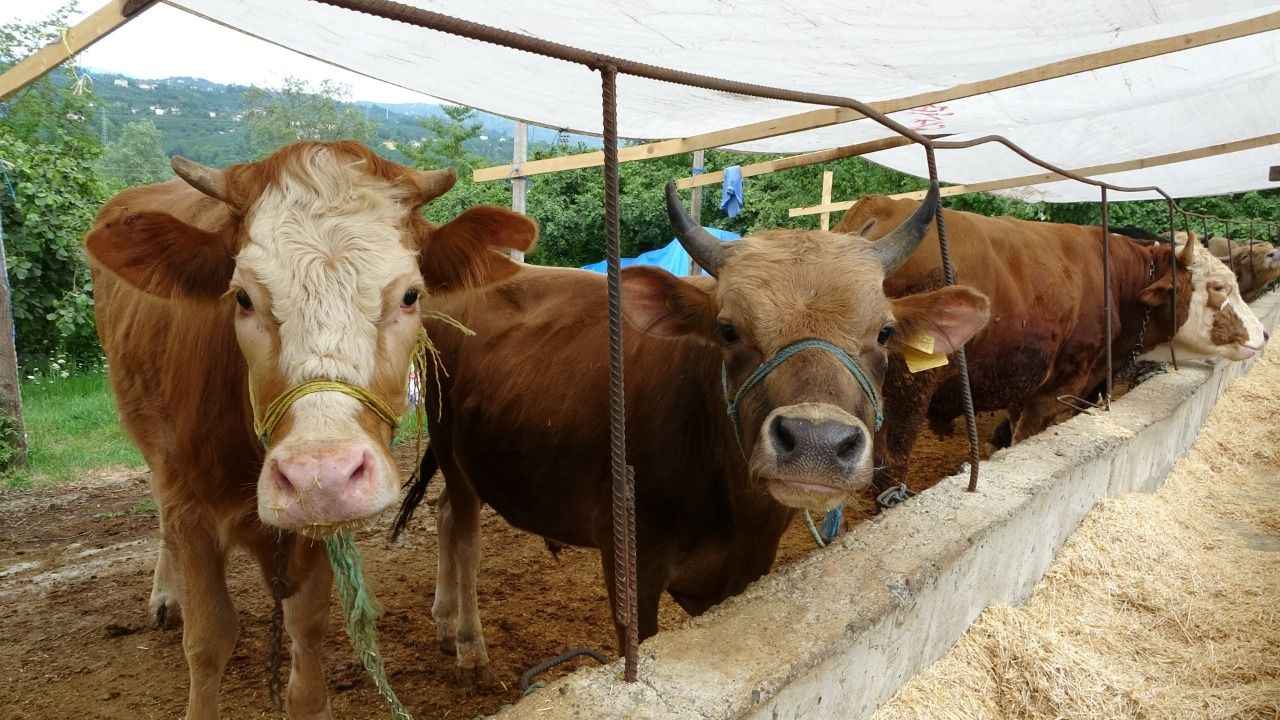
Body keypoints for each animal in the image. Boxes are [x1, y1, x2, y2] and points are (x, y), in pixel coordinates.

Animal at [86, 141, 535, 717]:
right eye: (242, 297)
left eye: (411, 295)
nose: (321, 476)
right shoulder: (190, 505)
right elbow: (208, 640)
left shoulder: (320, 525)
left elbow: (307, 629)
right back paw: (167, 596)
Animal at [394, 180, 993, 676]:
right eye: (727, 329)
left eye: (885, 333)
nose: (816, 443)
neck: (726, 499)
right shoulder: (630, 565)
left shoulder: (748, 567)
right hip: (449, 443)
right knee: (464, 531)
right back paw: (469, 644)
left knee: (444, 513)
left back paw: (444, 622)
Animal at [834, 196, 1264, 486]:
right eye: (1218, 286)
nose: (1263, 333)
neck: (1116, 280)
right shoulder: (1058, 388)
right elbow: (1024, 435)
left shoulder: (1027, 377)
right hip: (906, 393)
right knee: (889, 468)